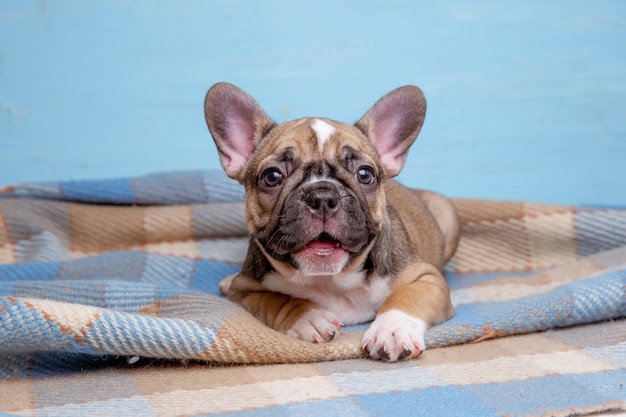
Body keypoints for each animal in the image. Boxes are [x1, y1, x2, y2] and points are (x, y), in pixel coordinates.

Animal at [205, 82, 458, 360]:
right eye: (272, 177)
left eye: (365, 174)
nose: (323, 196)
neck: (331, 280)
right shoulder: (246, 290)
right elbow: (276, 299)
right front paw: (307, 317)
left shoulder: (427, 279)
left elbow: (408, 297)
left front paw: (392, 330)